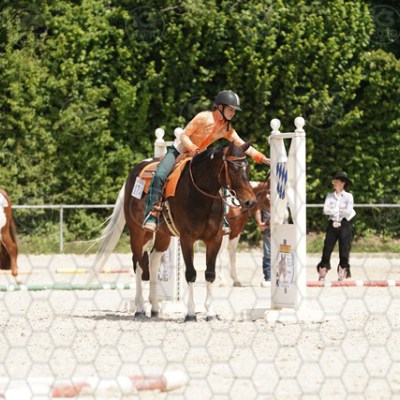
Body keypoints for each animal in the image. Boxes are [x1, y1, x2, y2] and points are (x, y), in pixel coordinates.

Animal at [91, 141, 257, 321]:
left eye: (247, 168)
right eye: (233, 169)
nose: (250, 201)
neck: (201, 195)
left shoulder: (215, 239)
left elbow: (210, 274)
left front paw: (211, 313)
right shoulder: (186, 238)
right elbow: (190, 273)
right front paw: (190, 313)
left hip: (163, 236)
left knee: (153, 262)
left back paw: (155, 307)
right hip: (139, 233)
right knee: (139, 265)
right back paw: (140, 308)